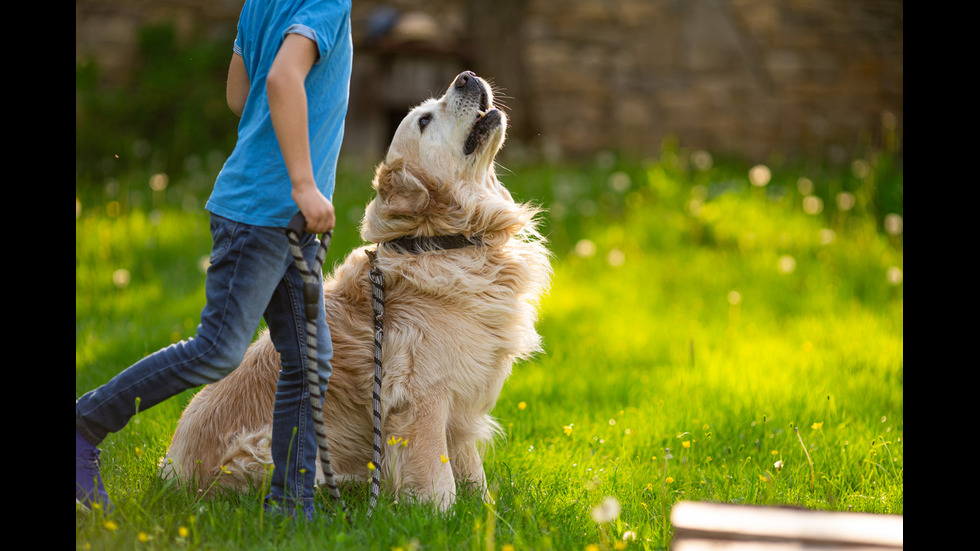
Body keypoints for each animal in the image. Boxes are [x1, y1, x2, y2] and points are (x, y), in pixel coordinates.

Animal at [161, 71, 552, 512]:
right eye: (424, 121)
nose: (466, 77)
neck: (442, 241)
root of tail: (171, 474)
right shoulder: (422, 396)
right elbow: (437, 476)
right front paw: (439, 516)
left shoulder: (463, 395)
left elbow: (471, 471)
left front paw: (485, 511)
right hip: (270, 451)